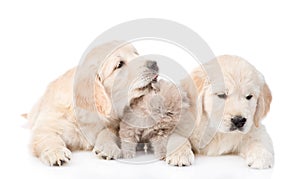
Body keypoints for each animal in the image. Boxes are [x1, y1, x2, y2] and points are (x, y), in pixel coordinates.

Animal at [28, 41, 159, 166]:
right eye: (119, 64)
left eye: (136, 53)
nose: (154, 63)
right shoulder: (47, 125)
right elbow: (48, 137)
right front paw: (56, 152)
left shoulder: (115, 124)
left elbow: (108, 132)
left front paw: (108, 147)